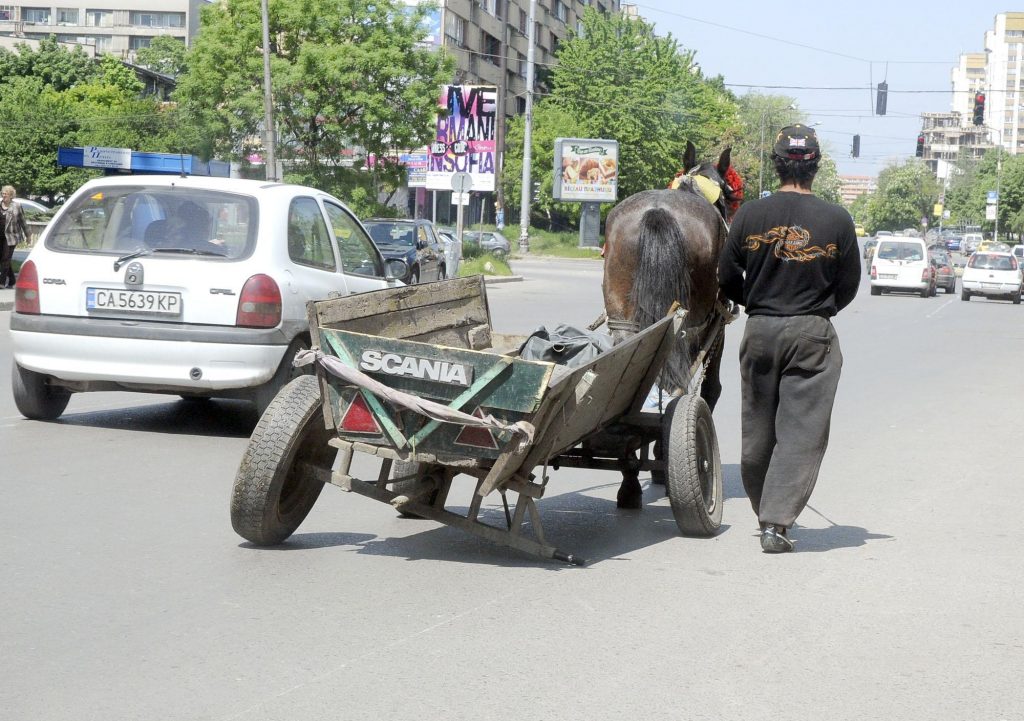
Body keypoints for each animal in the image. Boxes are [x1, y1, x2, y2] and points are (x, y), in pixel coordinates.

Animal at [598, 141, 741, 510]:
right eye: (730, 195)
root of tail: (657, 211)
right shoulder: (716, 327)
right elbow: (710, 388)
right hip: (694, 321)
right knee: (674, 381)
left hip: (626, 322)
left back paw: (629, 477)